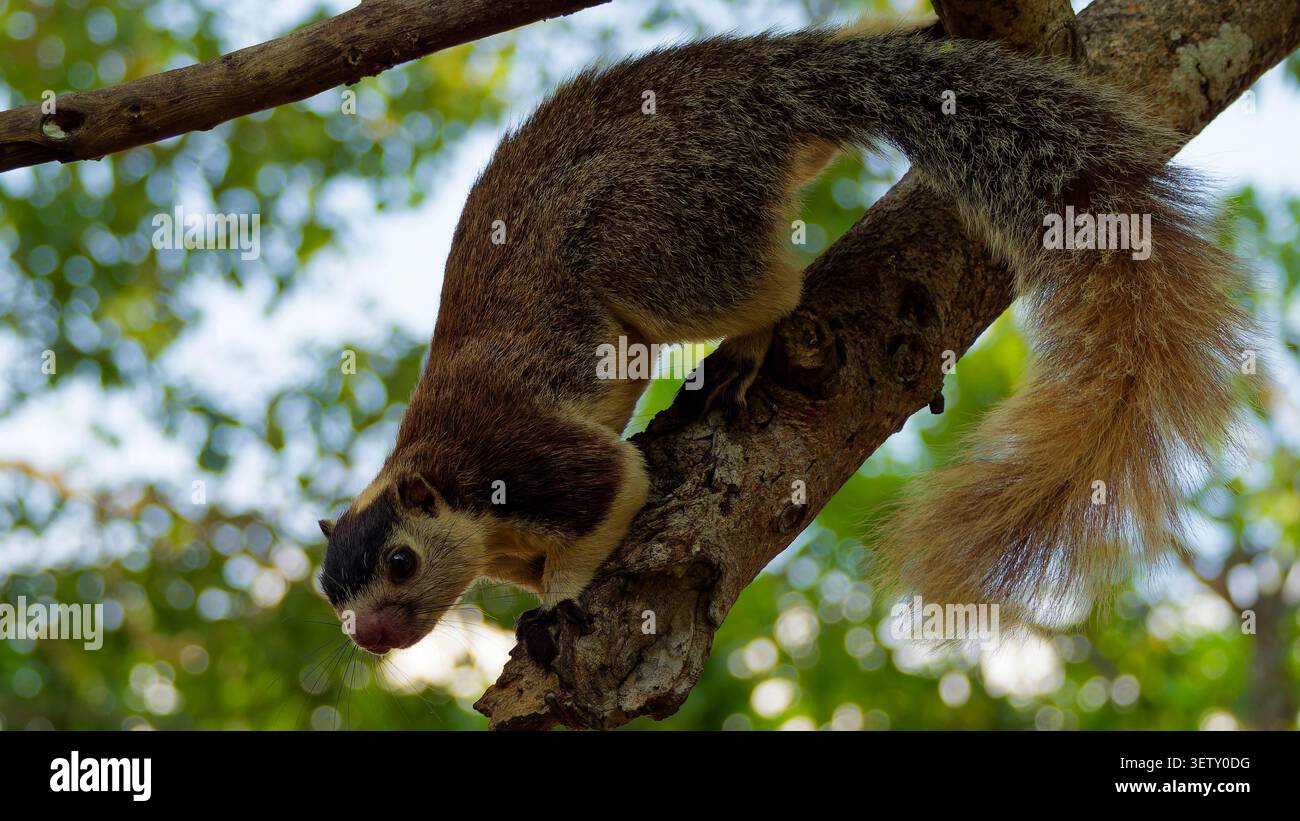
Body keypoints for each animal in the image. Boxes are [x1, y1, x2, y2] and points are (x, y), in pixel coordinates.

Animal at [318, 22, 1255, 660]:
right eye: (331, 594)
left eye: (400, 561)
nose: (368, 636)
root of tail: (755, 90)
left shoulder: (517, 456)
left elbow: (616, 483)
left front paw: (559, 599)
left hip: (660, 238)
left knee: (775, 288)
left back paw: (745, 349)